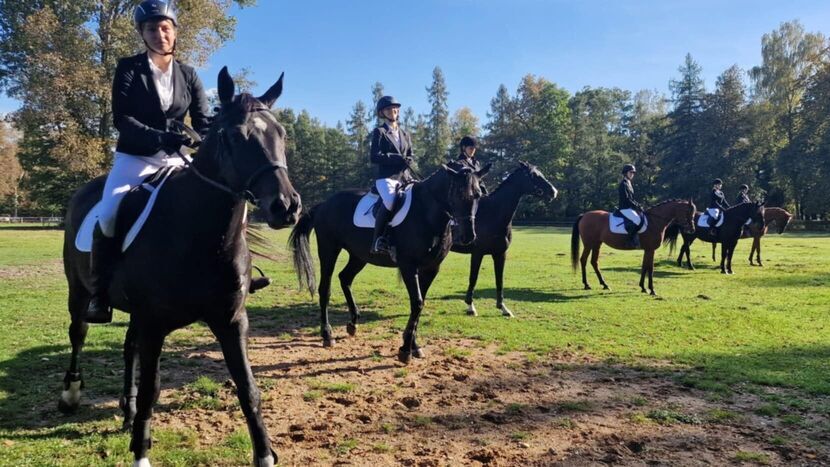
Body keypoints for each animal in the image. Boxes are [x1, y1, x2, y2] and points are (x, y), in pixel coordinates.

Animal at [61, 67, 302, 467]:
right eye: (234, 136)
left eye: (281, 134)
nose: (286, 206)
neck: (199, 233)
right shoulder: (155, 323)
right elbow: (152, 389)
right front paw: (141, 454)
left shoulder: (231, 320)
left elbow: (247, 387)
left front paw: (265, 454)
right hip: (78, 292)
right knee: (78, 333)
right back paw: (71, 395)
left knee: (128, 348)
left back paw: (127, 414)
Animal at [290, 163, 490, 364]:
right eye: (457, 193)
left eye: (478, 194)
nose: (468, 236)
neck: (426, 213)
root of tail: (325, 204)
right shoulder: (408, 266)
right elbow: (417, 303)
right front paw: (405, 350)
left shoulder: (431, 269)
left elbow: (420, 304)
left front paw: (414, 345)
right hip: (329, 250)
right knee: (325, 288)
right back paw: (327, 334)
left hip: (359, 256)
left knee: (345, 278)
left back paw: (353, 323)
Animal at [452, 161, 564, 318]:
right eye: (533, 175)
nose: (553, 192)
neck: (493, 214)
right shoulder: (477, 254)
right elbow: (473, 278)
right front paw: (470, 307)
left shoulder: (500, 254)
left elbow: (499, 279)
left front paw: (503, 308)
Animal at [568, 200, 700, 296]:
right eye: (688, 212)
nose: (692, 229)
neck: (654, 221)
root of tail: (584, 215)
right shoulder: (651, 249)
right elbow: (650, 268)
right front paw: (652, 290)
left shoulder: (647, 250)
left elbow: (644, 267)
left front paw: (643, 288)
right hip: (589, 244)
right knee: (584, 260)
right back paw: (586, 284)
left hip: (597, 244)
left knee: (594, 262)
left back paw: (604, 284)